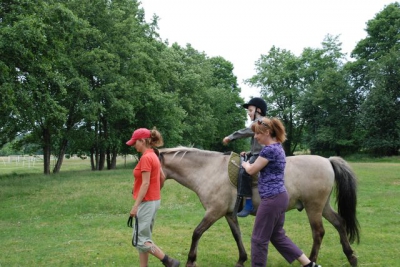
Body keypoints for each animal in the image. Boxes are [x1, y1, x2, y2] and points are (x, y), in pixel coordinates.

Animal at [159, 148, 360, 267]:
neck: (209, 170)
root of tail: (327, 161)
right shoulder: (229, 213)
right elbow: (237, 235)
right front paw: (241, 259)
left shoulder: (214, 212)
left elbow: (197, 233)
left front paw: (191, 260)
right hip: (323, 207)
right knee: (339, 223)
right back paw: (351, 256)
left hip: (314, 207)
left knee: (318, 232)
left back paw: (313, 260)